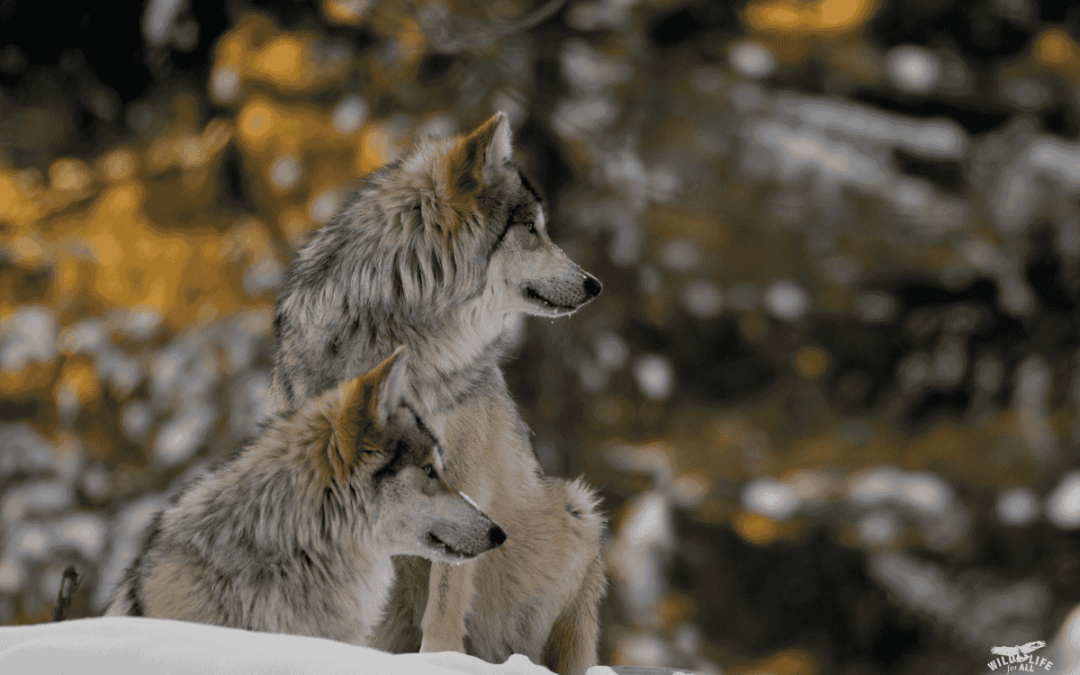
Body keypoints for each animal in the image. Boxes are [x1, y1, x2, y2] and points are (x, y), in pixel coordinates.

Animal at [268, 112, 606, 674]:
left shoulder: (464, 481)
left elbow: (447, 593)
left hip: (578, 512)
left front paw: (441, 658)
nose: (594, 284)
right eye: (531, 229)